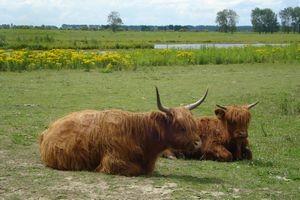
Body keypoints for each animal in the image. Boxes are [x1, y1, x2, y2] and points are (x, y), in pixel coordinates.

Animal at [39, 86, 209, 176]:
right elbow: (136, 169)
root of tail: (48, 128)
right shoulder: (113, 161)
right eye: (181, 126)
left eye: (193, 124)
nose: (198, 143)